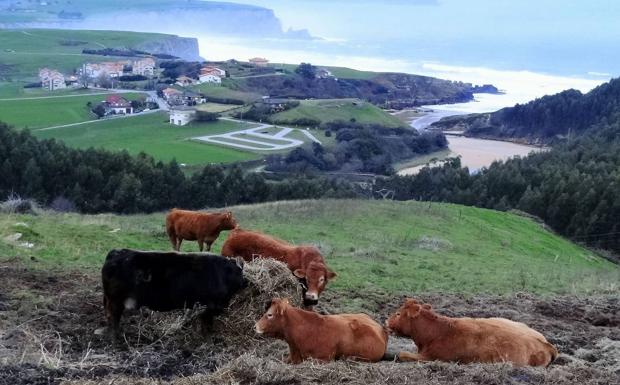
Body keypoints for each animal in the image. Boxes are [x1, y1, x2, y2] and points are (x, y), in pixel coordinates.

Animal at [101, 249, 247, 336]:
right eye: (239, 272)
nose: (245, 282)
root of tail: (117, 252)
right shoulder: (209, 307)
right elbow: (207, 324)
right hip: (115, 301)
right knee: (113, 318)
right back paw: (117, 337)